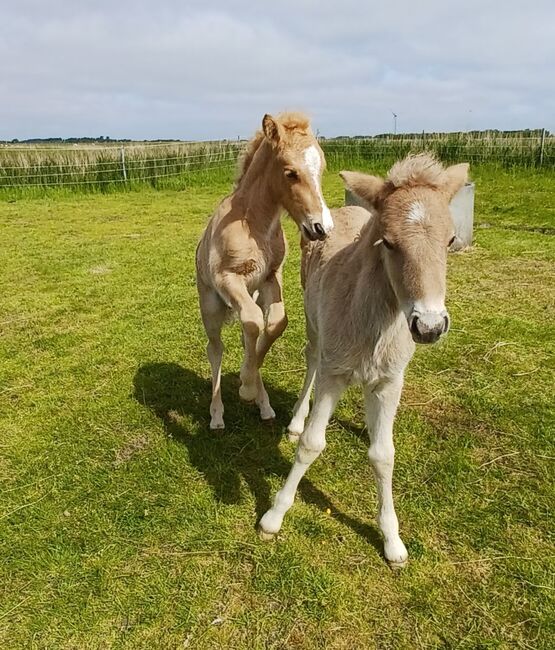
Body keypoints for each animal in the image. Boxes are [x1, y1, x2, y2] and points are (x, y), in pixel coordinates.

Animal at [260, 156, 470, 560]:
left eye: (451, 240)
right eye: (387, 241)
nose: (430, 326)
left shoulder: (389, 381)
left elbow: (383, 454)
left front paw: (392, 540)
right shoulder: (334, 372)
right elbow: (311, 444)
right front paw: (274, 515)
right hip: (313, 325)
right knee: (311, 358)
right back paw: (295, 421)